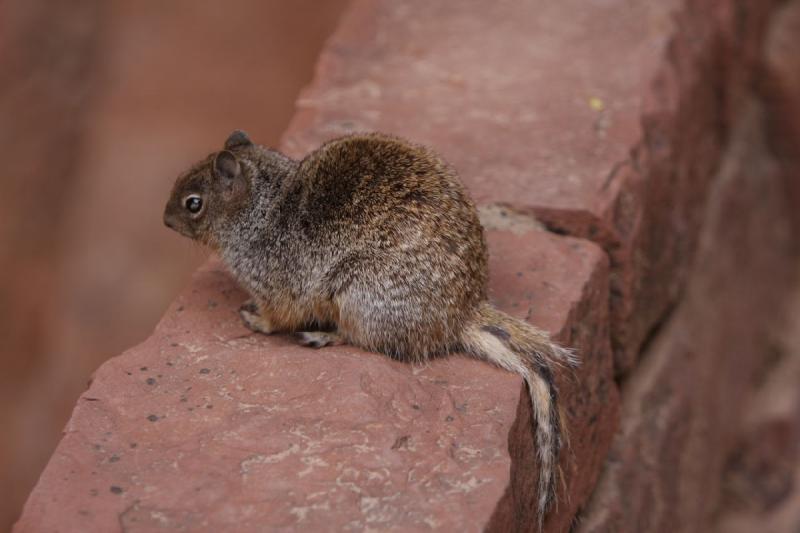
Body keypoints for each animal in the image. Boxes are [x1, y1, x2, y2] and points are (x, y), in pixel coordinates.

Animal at [164, 129, 576, 524]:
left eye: (193, 203)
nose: (164, 220)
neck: (259, 210)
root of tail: (462, 312)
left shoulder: (277, 287)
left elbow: (275, 317)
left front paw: (253, 318)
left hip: (356, 296)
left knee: (361, 340)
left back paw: (321, 335)